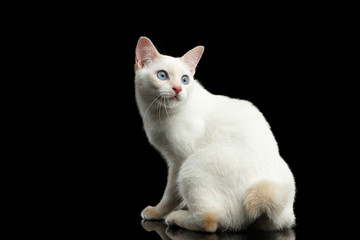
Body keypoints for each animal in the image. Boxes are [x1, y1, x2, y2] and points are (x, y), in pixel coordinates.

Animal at [135, 36, 296, 232]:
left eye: (185, 79)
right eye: (162, 76)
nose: (178, 89)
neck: (156, 114)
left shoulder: (178, 161)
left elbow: (170, 195)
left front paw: (157, 212)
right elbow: (177, 196)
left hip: (191, 167)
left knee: (209, 220)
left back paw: (174, 218)